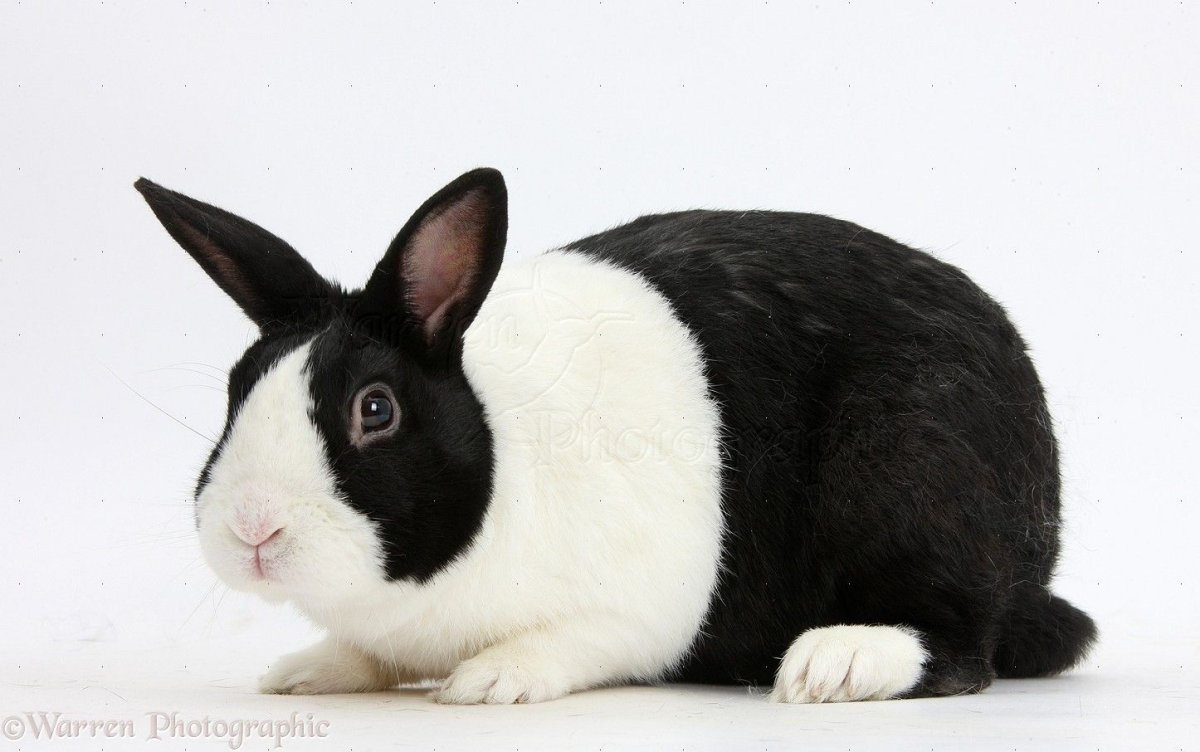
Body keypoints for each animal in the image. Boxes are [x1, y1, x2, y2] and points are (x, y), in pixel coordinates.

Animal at [134, 167, 1096, 704]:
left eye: (376, 410)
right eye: (236, 390)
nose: (253, 529)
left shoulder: (635, 611)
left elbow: (574, 642)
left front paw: (494, 680)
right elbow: (364, 655)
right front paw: (308, 670)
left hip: (916, 477)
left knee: (961, 640)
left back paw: (835, 664)